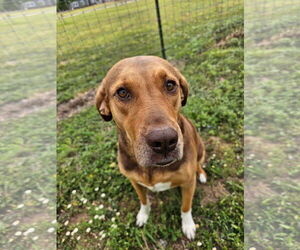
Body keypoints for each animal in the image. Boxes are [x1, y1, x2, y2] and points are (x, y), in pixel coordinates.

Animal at [96, 55, 206, 239]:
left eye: (170, 84)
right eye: (122, 92)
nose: (164, 141)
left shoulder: (188, 183)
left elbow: (185, 207)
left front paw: (188, 225)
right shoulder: (134, 181)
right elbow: (144, 200)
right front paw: (143, 215)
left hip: (201, 148)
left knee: (199, 163)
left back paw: (202, 174)